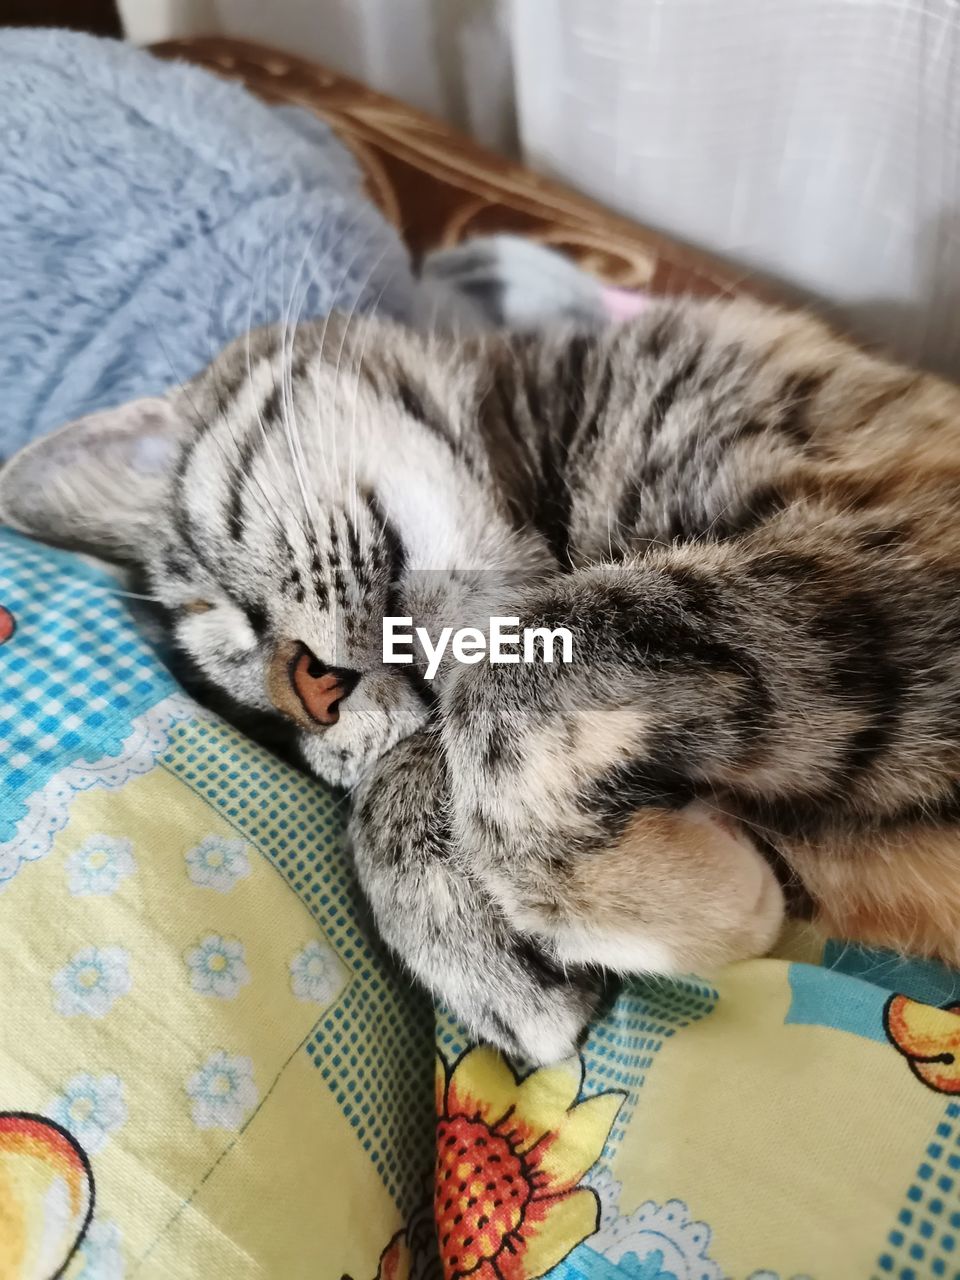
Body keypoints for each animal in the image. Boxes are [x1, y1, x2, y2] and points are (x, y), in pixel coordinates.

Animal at [1, 290, 960, 1059]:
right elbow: (420, 768)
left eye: (226, 608)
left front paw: (705, 903)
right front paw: (492, 950)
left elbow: (518, 681)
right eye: (272, 729)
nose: (312, 697)